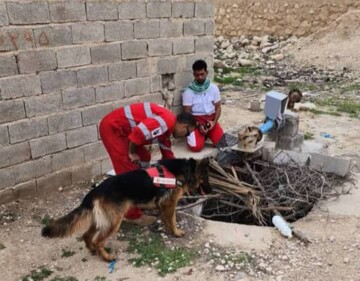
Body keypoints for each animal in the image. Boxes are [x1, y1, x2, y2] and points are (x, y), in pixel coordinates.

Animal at [41, 158, 211, 260]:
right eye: (206, 178)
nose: (210, 192)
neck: (185, 170)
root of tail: (96, 191)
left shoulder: (164, 205)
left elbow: (166, 219)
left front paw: (167, 229)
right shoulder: (170, 203)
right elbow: (173, 220)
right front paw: (176, 232)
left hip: (101, 220)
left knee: (87, 235)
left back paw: (92, 250)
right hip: (114, 221)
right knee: (98, 239)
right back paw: (106, 257)